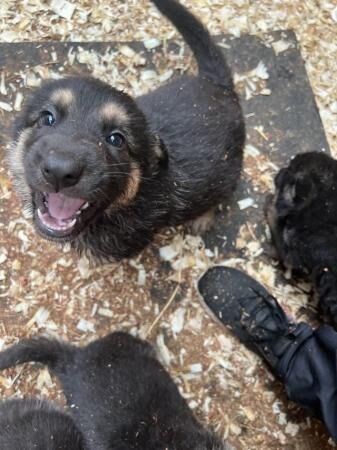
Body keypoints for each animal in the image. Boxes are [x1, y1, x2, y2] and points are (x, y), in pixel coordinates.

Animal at [7, 0, 244, 260]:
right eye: (47, 118)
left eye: (116, 139)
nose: (60, 171)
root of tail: (218, 85)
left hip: (227, 172)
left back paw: (203, 217)